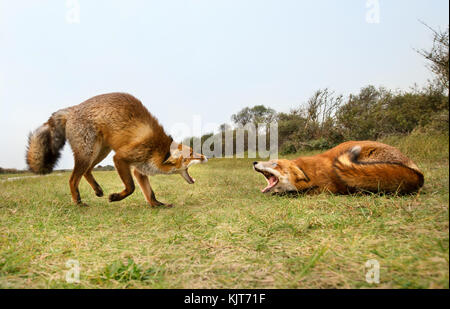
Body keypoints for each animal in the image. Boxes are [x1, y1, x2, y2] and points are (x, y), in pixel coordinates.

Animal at [25, 92, 207, 206]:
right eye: (191, 154)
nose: (205, 157)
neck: (157, 149)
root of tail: (73, 108)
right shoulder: (121, 158)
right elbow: (131, 187)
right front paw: (116, 197)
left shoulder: (139, 170)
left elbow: (150, 193)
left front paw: (157, 205)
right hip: (89, 153)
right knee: (72, 179)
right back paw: (78, 202)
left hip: (100, 152)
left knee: (86, 172)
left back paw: (97, 190)